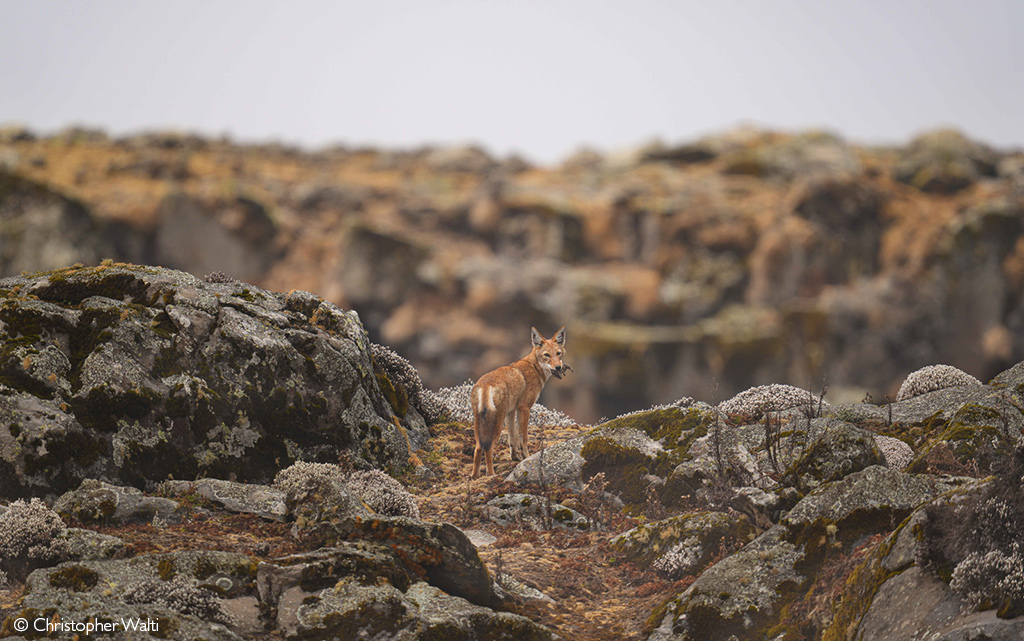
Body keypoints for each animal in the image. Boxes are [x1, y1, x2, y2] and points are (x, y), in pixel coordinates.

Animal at [468, 327, 569, 477]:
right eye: (547, 355)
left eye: (558, 353)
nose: (558, 367)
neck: (534, 367)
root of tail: (486, 384)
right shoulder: (524, 408)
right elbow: (523, 438)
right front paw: (527, 457)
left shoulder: (511, 412)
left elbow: (513, 438)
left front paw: (516, 458)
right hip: (497, 424)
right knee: (488, 448)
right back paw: (491, 474)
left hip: (480, 425)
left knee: (478, 448)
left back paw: (475, 477)